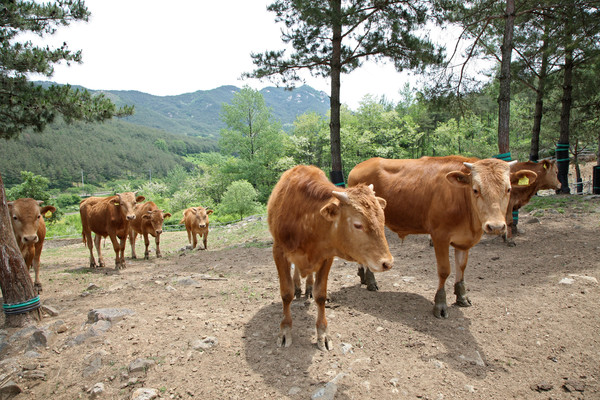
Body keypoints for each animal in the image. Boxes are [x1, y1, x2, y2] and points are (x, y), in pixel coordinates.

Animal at [268, 164, 394, 348]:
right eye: (357, 225)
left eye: (383, 220)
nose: (387, 263)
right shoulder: (278, 251)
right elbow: (286, 293)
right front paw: (285, 331)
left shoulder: (327, 256)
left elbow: (321, 294)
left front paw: (323, 333)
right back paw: (298, 286)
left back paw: (308, 287)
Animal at [350, 156, 536, 318]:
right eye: (475, 189)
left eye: (508, 189)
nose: (496, 226)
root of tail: (360, 166)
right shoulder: (440, 236)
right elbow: (444, 270)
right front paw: (440, 305)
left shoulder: (463, 241)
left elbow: (462, 267)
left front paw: (461, 297)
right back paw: (371, 281)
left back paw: (364, 276)